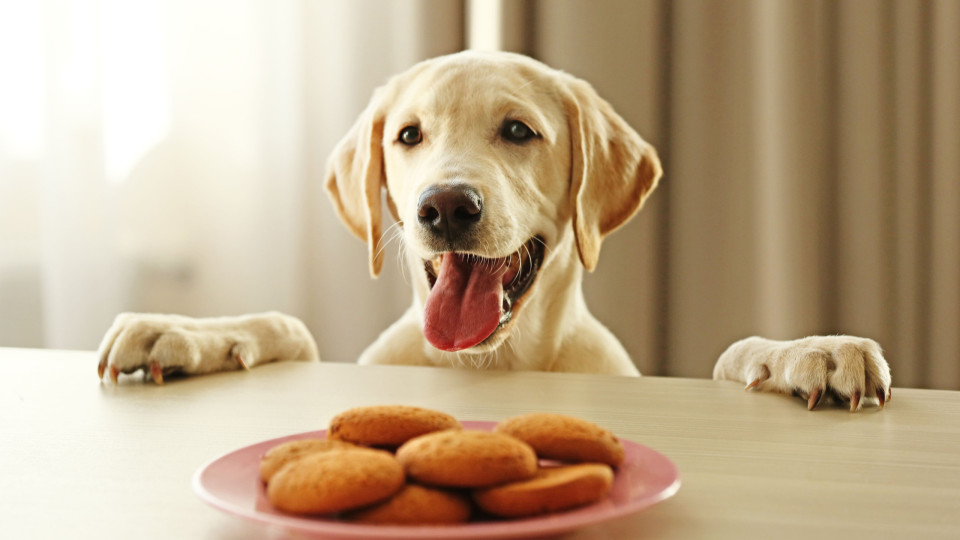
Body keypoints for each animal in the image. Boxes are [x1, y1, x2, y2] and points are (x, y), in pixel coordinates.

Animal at [97, 52, 892, 412]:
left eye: (517, 131)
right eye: (408, 135)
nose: (446, 206)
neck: (489, 364)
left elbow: (734, 353)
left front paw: (814, 350)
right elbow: (288, 326)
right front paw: (183, 330)